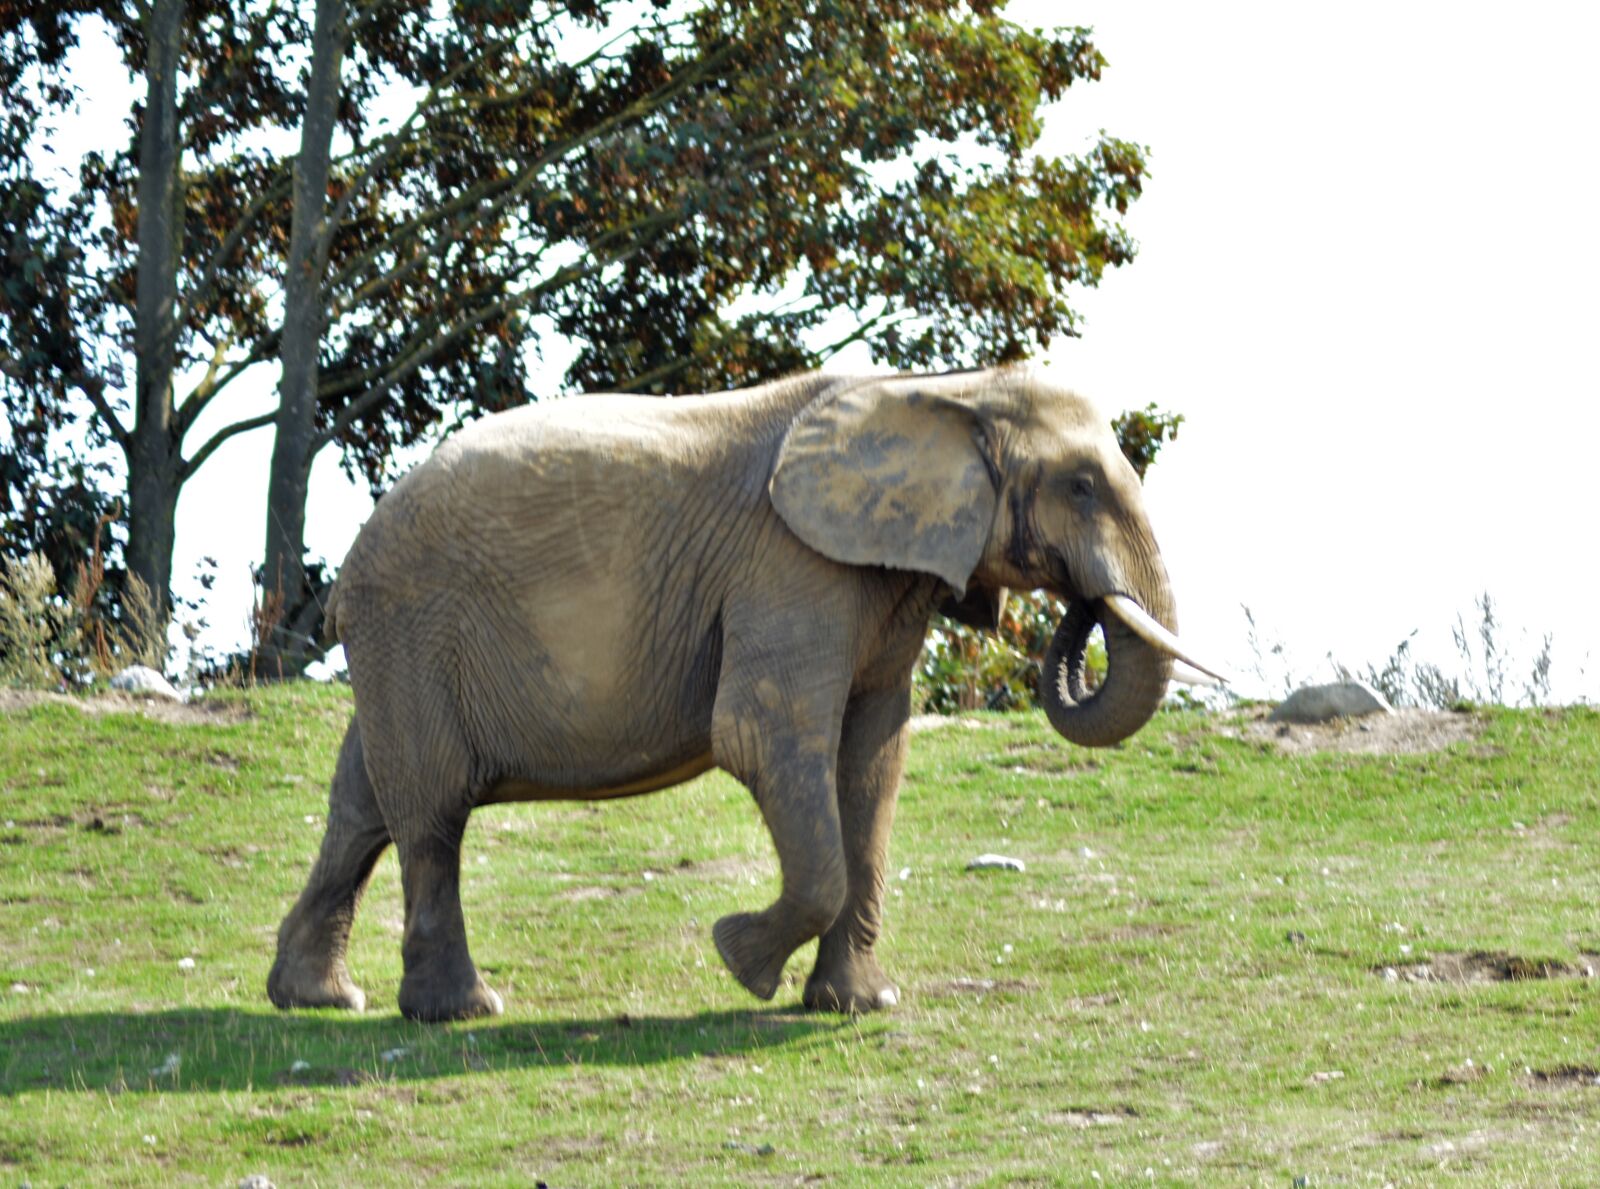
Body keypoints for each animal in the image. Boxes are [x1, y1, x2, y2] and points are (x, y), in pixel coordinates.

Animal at [267, 368, 1216, 1021]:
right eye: (1081, 486)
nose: (1080, 608)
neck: (949, 391)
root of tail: (349, 566)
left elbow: (872, 761)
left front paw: (858, 1005)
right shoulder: (793, 566)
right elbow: (760, 734)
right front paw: (739, 961)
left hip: (401, 644)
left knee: (362, 801)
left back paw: (318, 998)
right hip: (413, 623)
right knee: (430, 810)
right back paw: (461, 1011)